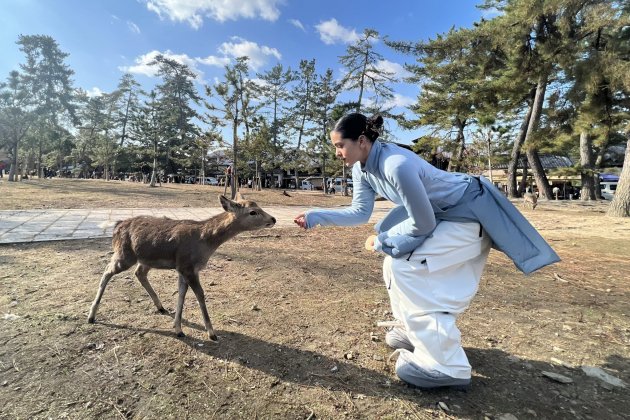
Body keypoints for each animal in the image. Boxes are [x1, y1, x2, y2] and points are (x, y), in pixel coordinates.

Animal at [87, 194, 276, 342]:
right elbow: (200, 294)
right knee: (107, 271)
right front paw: (211, 333)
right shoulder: (188, 266)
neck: (204, 242)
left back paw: (161, 307)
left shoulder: (182, 268)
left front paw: (178, 329)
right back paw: (91, 315)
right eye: (253, 212)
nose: (273, 219)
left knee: (139, 273)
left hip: (145, 259)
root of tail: (117, 226)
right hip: (124, 254)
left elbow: (181, 294)